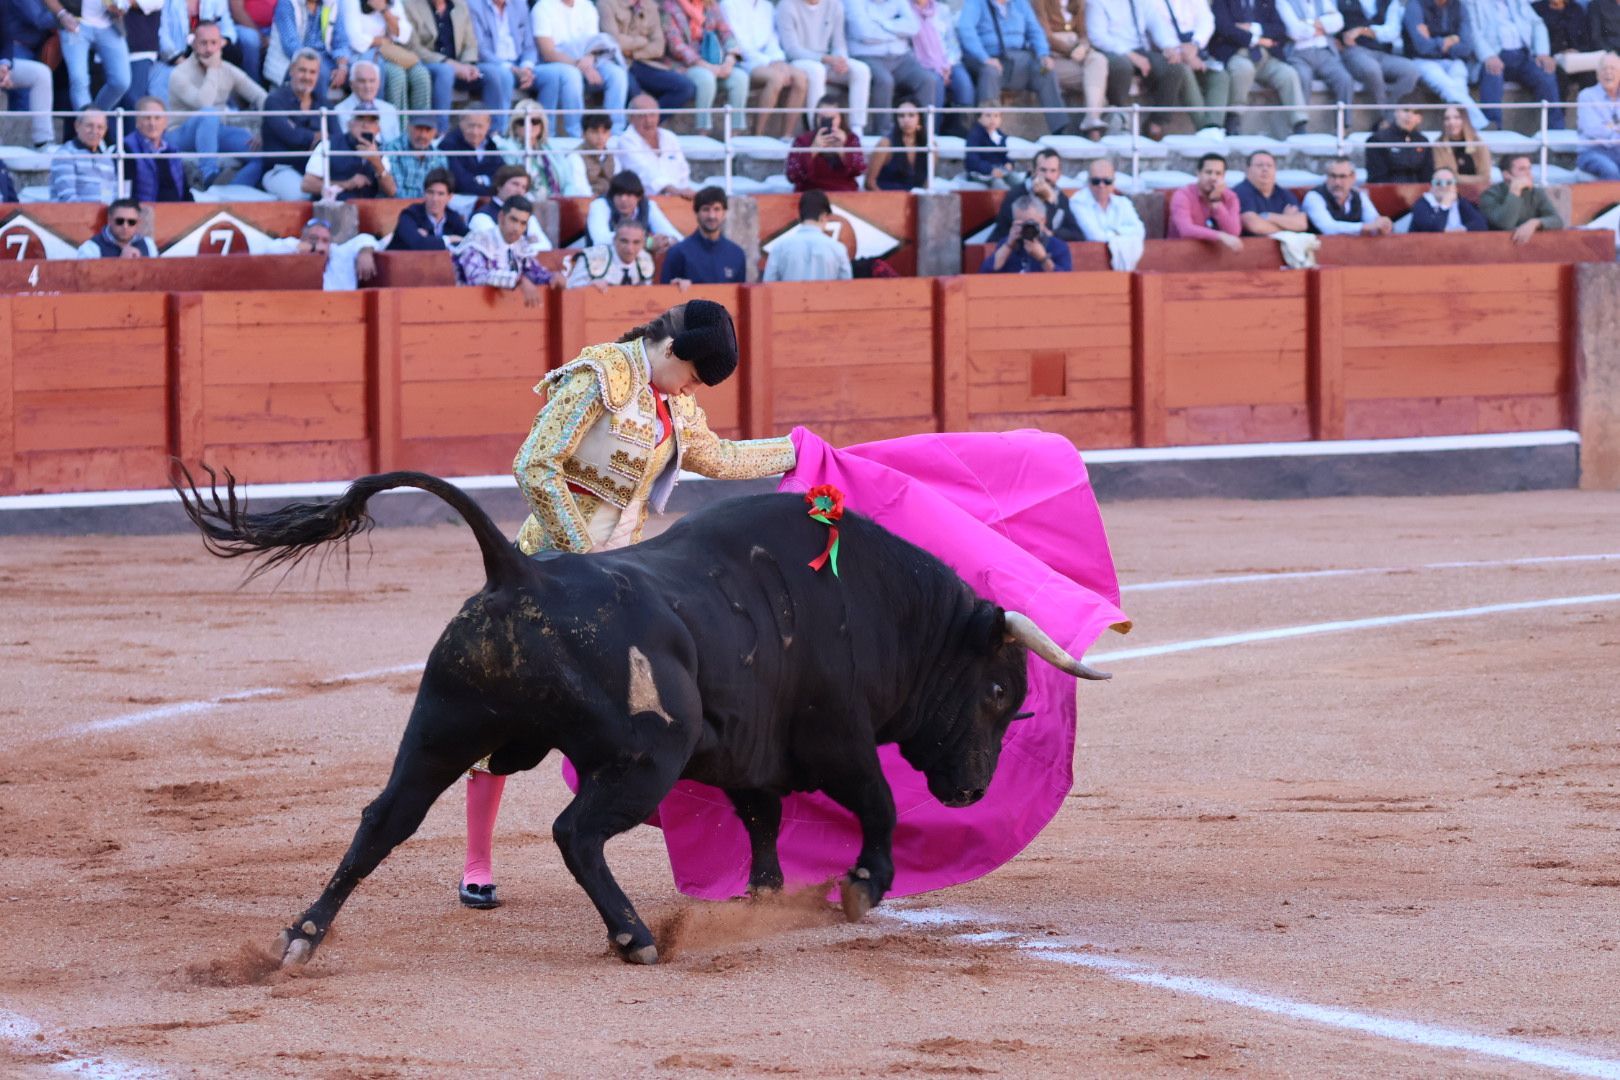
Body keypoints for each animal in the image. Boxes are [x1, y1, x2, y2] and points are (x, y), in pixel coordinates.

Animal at [180, 469, 1114, 965]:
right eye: (1000, 693)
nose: (971, 793)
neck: (879, 607)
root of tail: (518, 572)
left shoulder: (748, 754)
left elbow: (762, 819)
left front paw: (760, 897)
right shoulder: (839, 738)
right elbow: (876, 807)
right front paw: (861, 886)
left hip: (441, 726)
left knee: (386, 818)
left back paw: (301, 938)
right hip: (642, 758)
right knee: (576, 832)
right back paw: (634, 936)